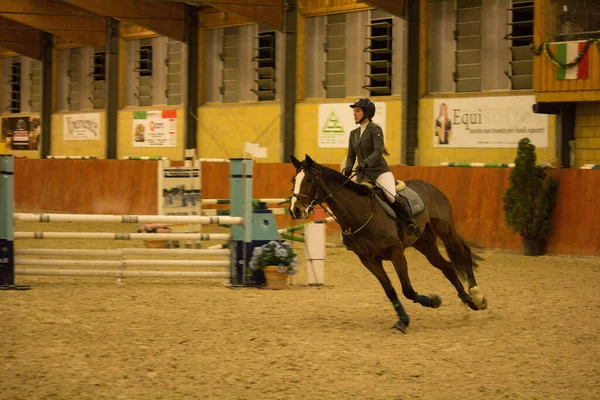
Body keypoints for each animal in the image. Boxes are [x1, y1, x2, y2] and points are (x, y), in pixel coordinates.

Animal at [290, 155, 488, 332]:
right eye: (294, 180)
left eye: (309, 179)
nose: (296, 211)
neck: (359, 212)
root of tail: (431, 186)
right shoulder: (368, 260)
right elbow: (390, 290)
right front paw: (403, 320)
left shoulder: (396, 252)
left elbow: (407, 289)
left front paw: (433, 301)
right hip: (424, 243)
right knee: (447, 266)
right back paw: (468, 300)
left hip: (445, 231)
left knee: (463, 252)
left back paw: (477, 296)